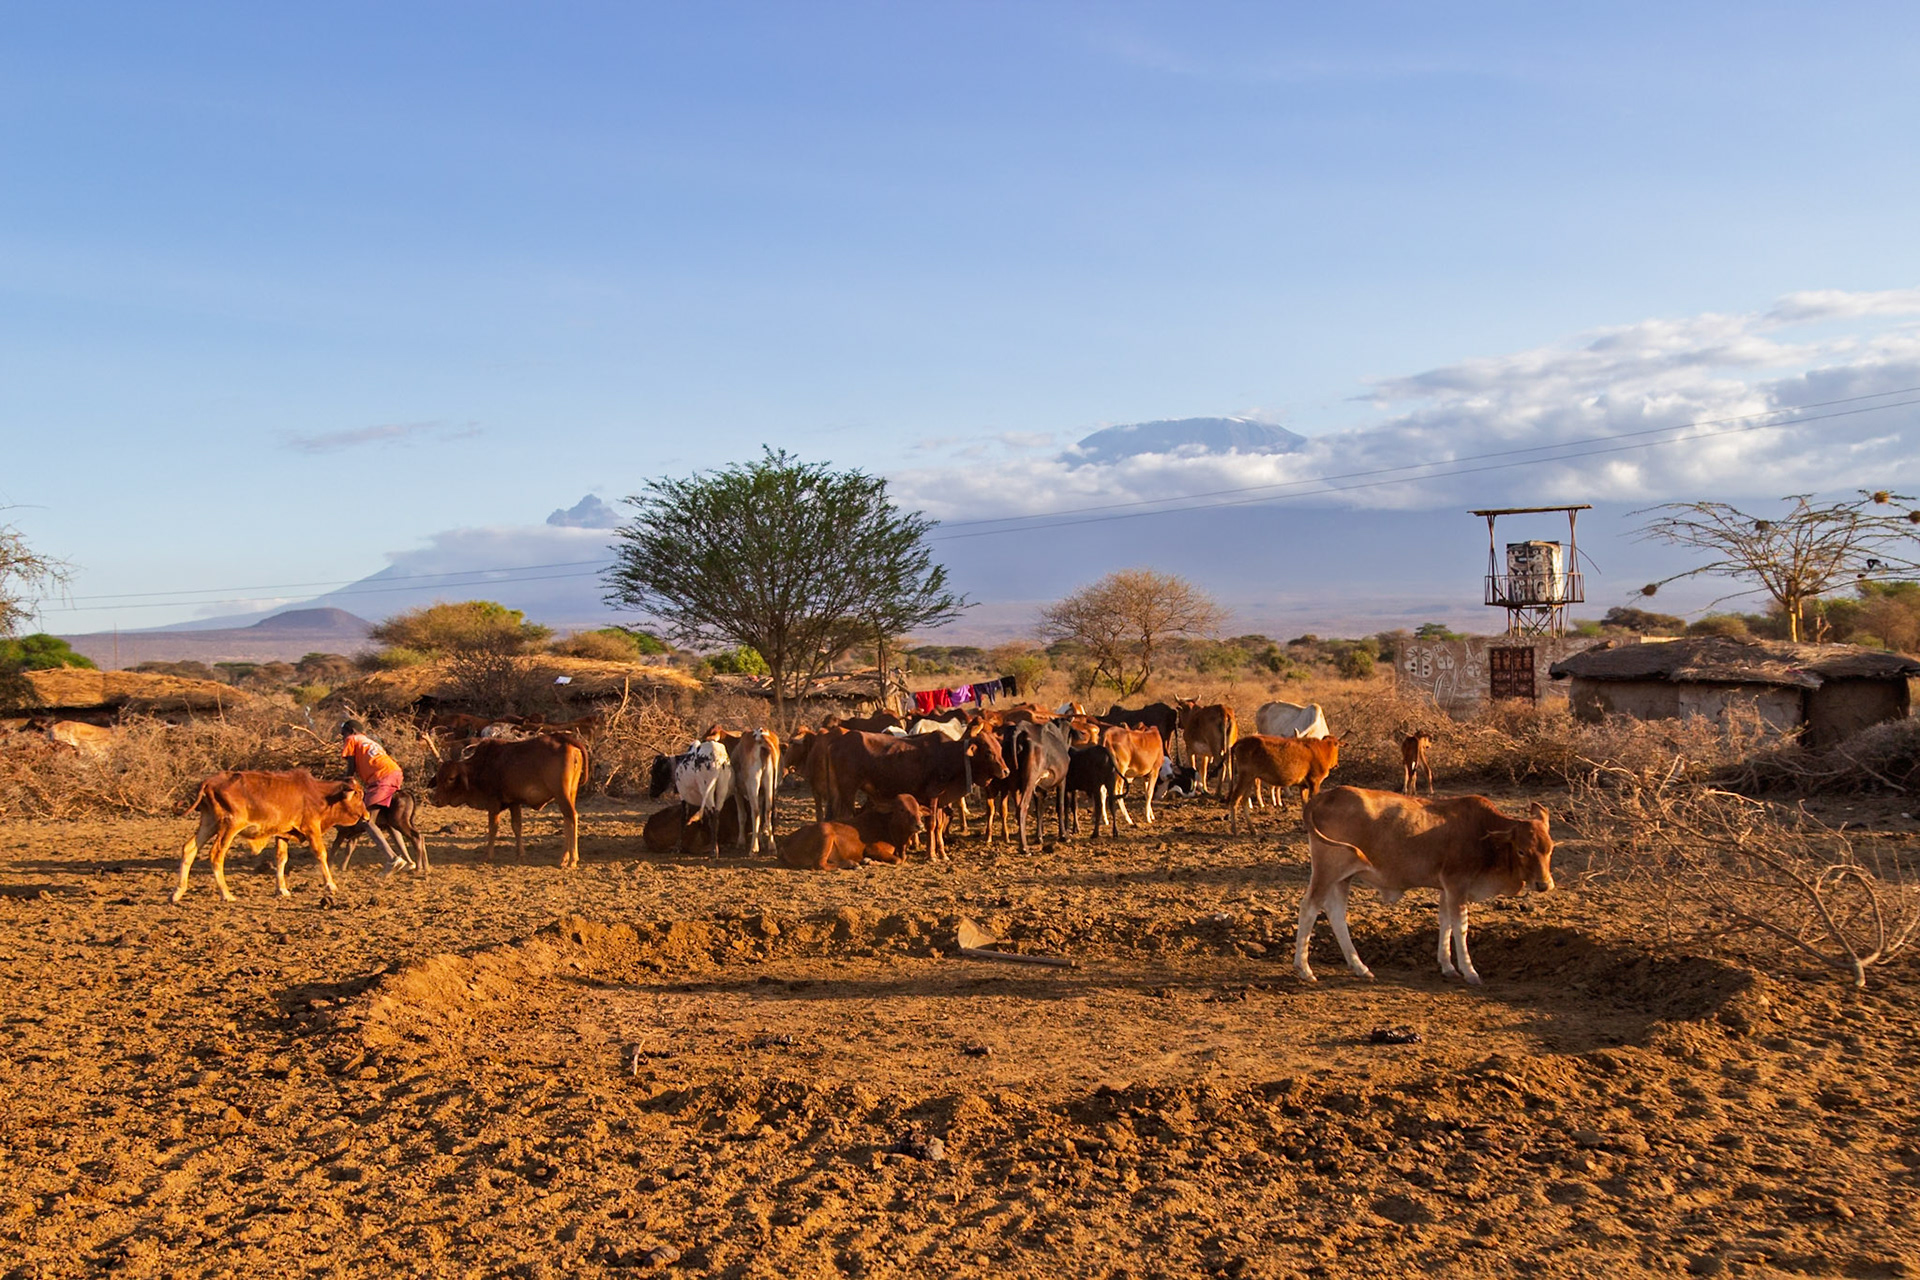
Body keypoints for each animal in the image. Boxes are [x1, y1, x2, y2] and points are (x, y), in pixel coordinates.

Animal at [173, 771, 370, 903]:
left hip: (209, 823)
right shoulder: (311, 828)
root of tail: (209, 782)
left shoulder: (282, 834)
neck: (321, 794)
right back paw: (226, 894)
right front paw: (331, 885)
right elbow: (321, 854)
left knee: (189, 849)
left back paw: (177, 892)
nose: (367, 816)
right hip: (229, 826)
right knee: (216, 855)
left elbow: (281, 858)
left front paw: (281, 889)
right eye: (359, 794)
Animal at [429, 733, 588, 869]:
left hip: (561, 793)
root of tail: (565, 740)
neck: (480, 766)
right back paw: (564, 858)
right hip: (570, 793)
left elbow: (493, 828)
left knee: (572, 816)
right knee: (567, 819)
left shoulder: (493, 802)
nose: (435, 800)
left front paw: (488, 855)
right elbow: (517, 827)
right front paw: (520, 855)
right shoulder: (514, 802)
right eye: (438, 777)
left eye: (451, 778)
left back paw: (572, 860)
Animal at [775, 795, 927, 870]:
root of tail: (784, 845)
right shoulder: (871, 848)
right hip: (825, 831)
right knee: (819, 865)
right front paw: (869, 861)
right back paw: (851, 864)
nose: (919, 825)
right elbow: (897, 860)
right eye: (902, 809)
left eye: (918, 809)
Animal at [820, 723, 1009, 859]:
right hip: (847, 791)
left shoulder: (940, 800)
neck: (951, 756)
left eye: (1000, 749)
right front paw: (931, 855)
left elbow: (939, 826)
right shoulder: (932, 796)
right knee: (846, 816)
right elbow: (931, 825)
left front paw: (942, 853)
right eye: (988, 752)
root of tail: (835, 742)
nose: (1006, 771)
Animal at [1294, 786, 1556, 986]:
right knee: (1309, 908)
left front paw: (1447, 966)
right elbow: (1461, 926)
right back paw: (1304, 969)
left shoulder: (1446, 888)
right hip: (1328, 871)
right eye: (1522, 850)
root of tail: (1324, 797)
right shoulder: (1457, 885)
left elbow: (1446, 922)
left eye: (1550, 848)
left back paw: (1359, 967)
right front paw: (1470, 971)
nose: (1544, 884)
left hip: (1342, 878)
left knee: (1336, 914)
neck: (1484, 834)